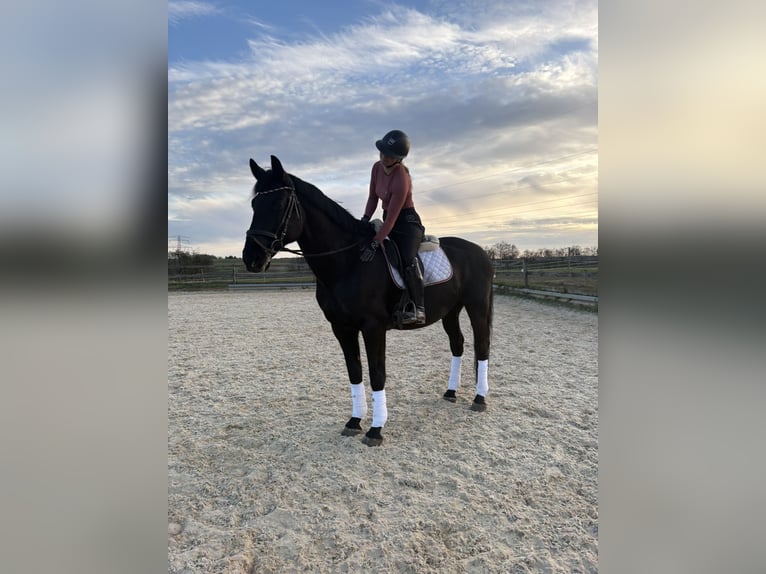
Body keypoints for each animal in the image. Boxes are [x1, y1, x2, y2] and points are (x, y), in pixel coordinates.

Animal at [242, 155, 494, 446]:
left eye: (280, 204)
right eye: (254, 205)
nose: (252, 258)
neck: (348, 262)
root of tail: (480, 251)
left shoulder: (373, 328)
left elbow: (377, 374)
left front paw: (376, 429)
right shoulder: (341, 328)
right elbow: (355, 371)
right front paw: (354, 421)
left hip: (477, 306)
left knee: (482, 345)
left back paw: (479, 398)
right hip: (450, 311)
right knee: (458, 343)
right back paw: (451, 392)